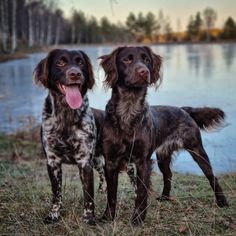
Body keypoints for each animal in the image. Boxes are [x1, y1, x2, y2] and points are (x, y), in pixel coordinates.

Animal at [99, 46, 229, 225]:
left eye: (146, 59)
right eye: (126, 59)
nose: (144, 72)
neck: (128, 111)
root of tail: (184, 109)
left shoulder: (143, 162)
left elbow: (141, 194)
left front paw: (137, 219)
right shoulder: (110, 162)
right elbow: (111, 195)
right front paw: (107, 217)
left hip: (197, 150)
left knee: (212, 177)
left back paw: (222, 201)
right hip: (163, 156)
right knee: (168, 175)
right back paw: (165, 197)